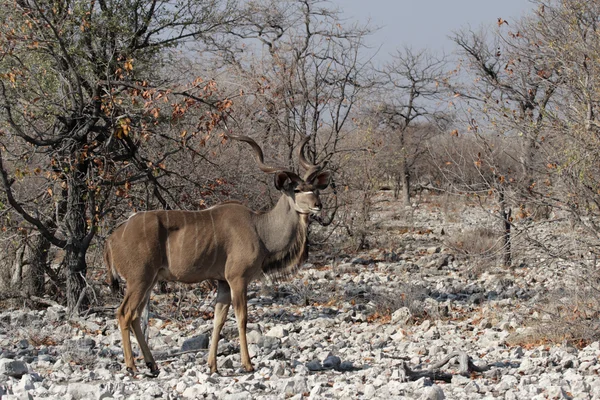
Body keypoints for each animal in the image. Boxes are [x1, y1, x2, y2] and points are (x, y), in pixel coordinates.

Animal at [103, 134, 328, 376]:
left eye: (315, 188)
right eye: (297, 190)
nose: (318, 205)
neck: (259, 228)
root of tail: (112, 237)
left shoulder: (223, 282)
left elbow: (218, 319)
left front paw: (212, 365)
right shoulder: (237, 279)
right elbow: (241, 318)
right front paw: (247, 364)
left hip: (149, 280)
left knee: (135, 316)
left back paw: (152, 365)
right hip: (139, 279)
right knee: (124, 313)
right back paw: (131, 366)